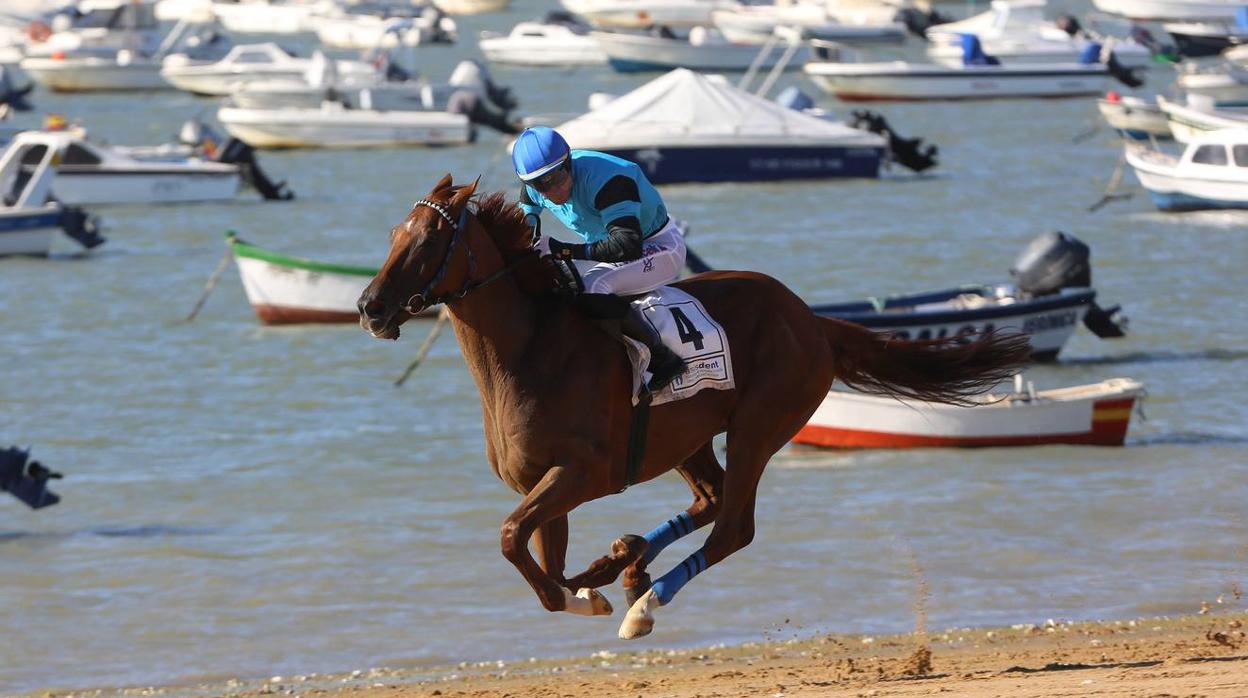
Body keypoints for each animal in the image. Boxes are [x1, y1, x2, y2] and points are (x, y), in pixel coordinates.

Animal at [354, 176, 1033, 639]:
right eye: (392, 235)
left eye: (430, 238)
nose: (370, 307)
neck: (530, 351)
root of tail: (809, 317)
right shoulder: (544, 484)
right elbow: (544, 564)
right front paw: (600, 578)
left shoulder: (579, 474)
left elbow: (514, 543)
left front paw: (599, 592)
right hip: (688, 436)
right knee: (710, 497)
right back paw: (628, 563)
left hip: (760, 423)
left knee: (734, 524)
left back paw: (645, 602)